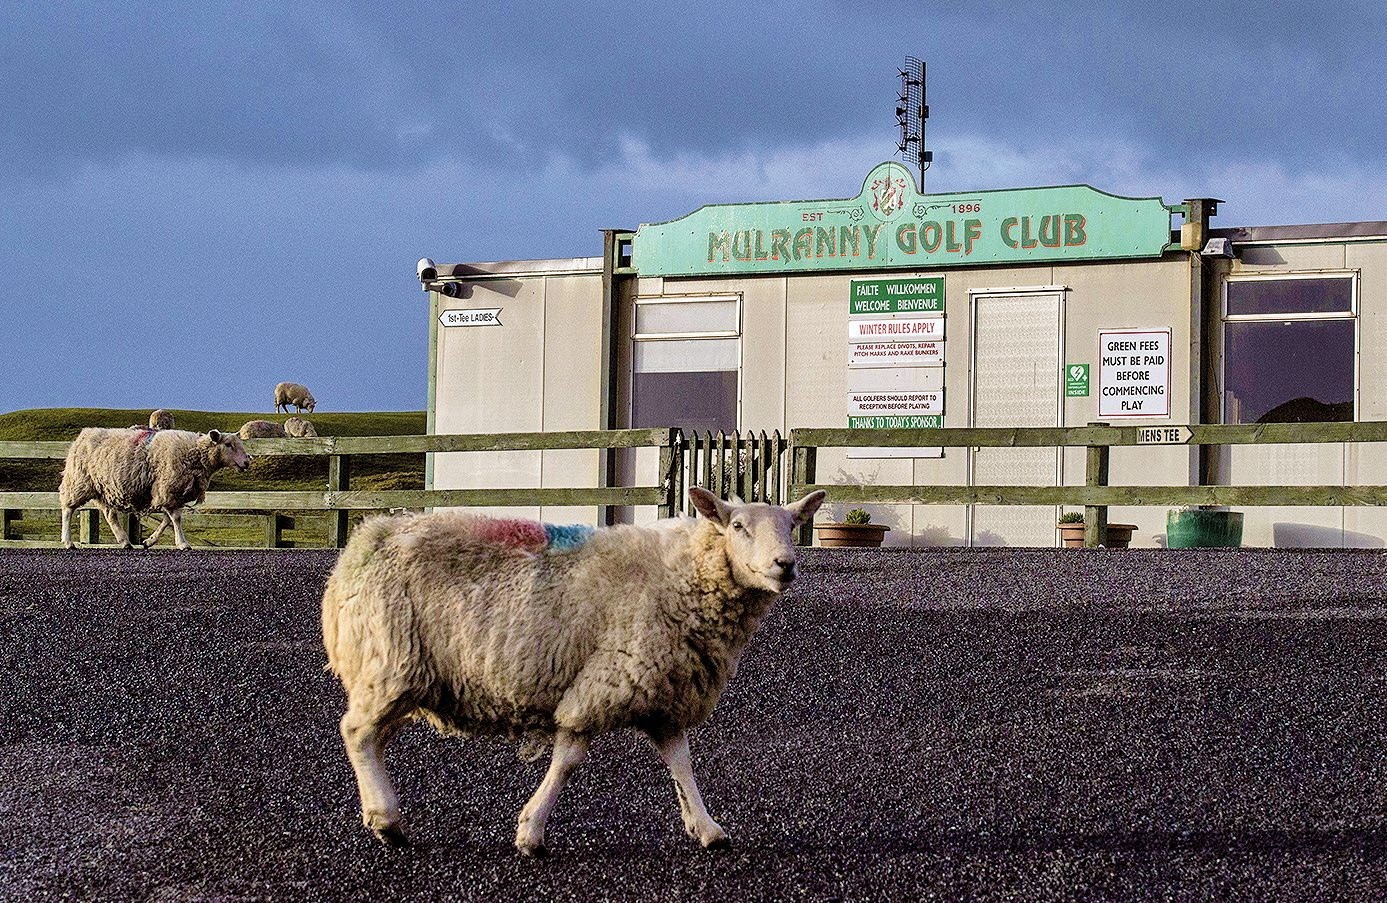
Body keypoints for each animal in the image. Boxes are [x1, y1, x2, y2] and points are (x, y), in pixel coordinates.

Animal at [59, 427, 250, 551]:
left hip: (106, 489)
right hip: (79, 481)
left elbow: (167, 520)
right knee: (68, 509)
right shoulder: (168, 488)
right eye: (228, 444)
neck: (194, 453)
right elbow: (176, 519)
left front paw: (149, 541)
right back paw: (68, 542)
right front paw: (183, 543)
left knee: (110, 515)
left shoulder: (171, 494)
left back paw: (125, 541)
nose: (247, 462)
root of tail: (83, 435)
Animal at [321, 486, 825, 854]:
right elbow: (567, 762)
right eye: (738, 526)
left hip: (395, 675)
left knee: (372, 737)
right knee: (357, 733)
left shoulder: (662, 692)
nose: (785, 565)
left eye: (792, 525)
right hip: (391, 660)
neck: (683, 575)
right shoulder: (603, 682)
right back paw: (387, 821)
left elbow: (681, 764)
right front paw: (531, 832)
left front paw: (705, 827)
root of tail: (368, 539)